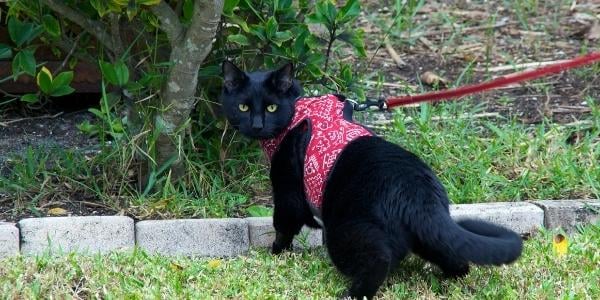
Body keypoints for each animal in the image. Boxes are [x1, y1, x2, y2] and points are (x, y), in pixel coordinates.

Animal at [219, 61, 520, 300]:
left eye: (271, 107)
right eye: (243, 106)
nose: (257, 125)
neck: (297, 110)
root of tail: (418, 195)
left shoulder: (287, 192)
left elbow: (283, 226)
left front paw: (276, 253)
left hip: (347, 230)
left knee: (377, 261)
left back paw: (351, 295)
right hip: (429, 236)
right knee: (458, 260)